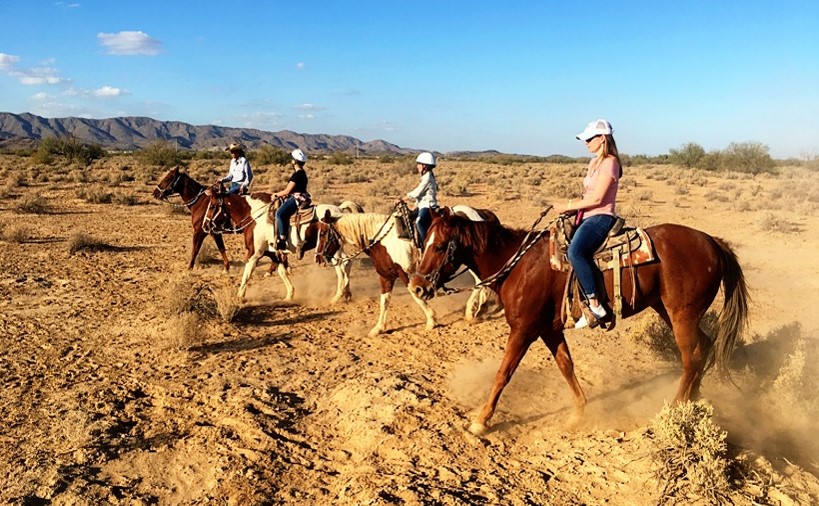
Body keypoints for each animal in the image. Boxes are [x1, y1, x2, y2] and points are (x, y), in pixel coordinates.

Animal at [205, 189, 368, 300]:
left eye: (212, 206)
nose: (205, 225)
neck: (255, 216)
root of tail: (339, 209)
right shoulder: (274, 252)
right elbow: (282, 272)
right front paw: (290, 294)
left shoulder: (254, 253)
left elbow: (247, 274)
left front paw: (239, 296)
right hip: (335, 249)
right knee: (345, 263)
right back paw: (346, 293)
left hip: (331, 249)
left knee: (342, 265)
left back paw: (338, 295)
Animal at [316, 206, 500, 336]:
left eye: (323, 233)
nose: (319, 257)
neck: (382, 240)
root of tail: (482, 213)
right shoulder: (386, 276)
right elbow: (384, 301)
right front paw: (378, 328)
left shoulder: (406, 274)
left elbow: (415, 295)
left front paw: (431, 321)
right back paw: (479, 308)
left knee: (481, 282)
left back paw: (471, 311)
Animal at [410, 207, 748, 434]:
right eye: (423, 242)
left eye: (439, 246)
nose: (417, 286)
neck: (518, 265)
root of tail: (713, 242)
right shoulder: (548, 329)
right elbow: (566, 366)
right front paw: (578, 413)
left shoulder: (523, 330)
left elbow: (503, 374)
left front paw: (481, 421)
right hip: (669, 310)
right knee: (704, 347)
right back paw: (695, 402)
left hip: (681, 315)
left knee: (691, 356)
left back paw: (676, 409)